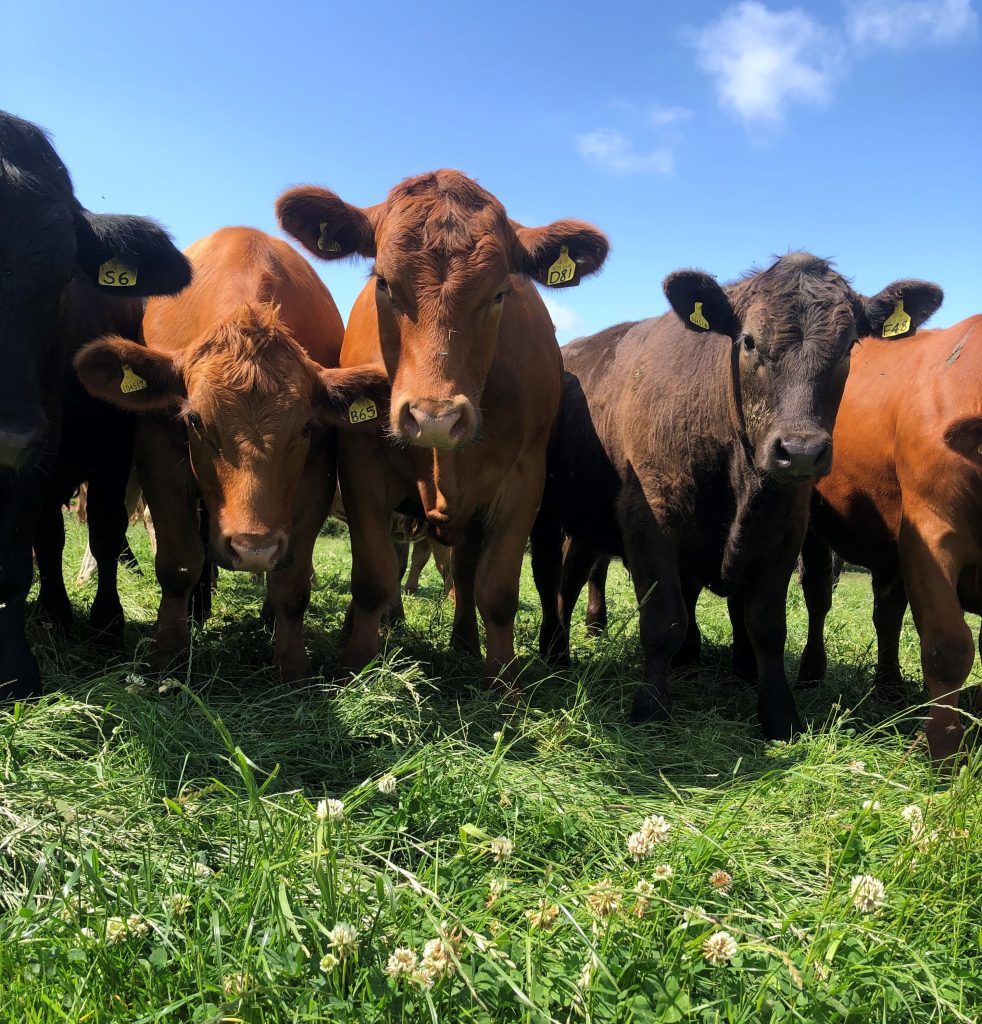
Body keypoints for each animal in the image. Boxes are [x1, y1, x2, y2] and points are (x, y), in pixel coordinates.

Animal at [73, 226, 389, 681]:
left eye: (305, 427)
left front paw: (292, 666)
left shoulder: (317, 473)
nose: (252, 548)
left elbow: (291, 580)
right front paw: (166, 654)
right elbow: (178, 562)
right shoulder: (157, 453)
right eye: (195, 421)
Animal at [276, 170, 608, 683]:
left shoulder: (524, 479)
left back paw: (465, 643)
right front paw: (356, 664)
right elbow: (373, 575)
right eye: (384, 283)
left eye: (499, 292)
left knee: (467, 570)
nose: (435, 418)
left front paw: (505, 681)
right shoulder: (360, 464)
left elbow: (498, 591)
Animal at [532, 253, 942, 742]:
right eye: (748, 342)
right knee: (550, 576)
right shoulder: (650, 519)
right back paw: (554, 651)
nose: (801, 450)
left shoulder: (783, 531)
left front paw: (779, 715)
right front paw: (651, 709)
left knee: (572, 573)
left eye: (848, 348)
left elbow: (765, 625)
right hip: (543, 511)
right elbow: (664, 619)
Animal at [798, 315, 981, 763]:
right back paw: (811, 673)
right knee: (818, 595)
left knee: (887, 611)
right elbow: (947, 647)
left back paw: (890, 686)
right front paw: (943, 754)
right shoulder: (929, 534)